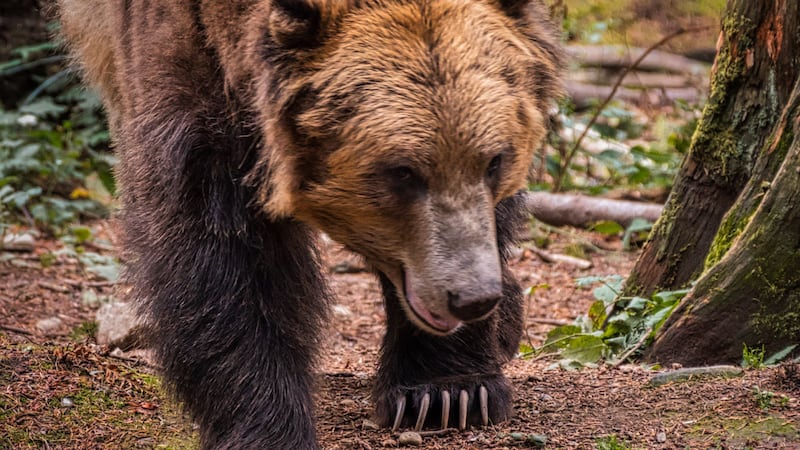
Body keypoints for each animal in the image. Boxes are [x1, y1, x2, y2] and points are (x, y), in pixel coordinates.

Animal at [56, 0, 563, 448]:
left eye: (494, 161)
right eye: (401, 171)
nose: (471, 297)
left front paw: (447, 393)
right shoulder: (192, 71)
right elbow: (223, 258)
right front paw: (266, 426)